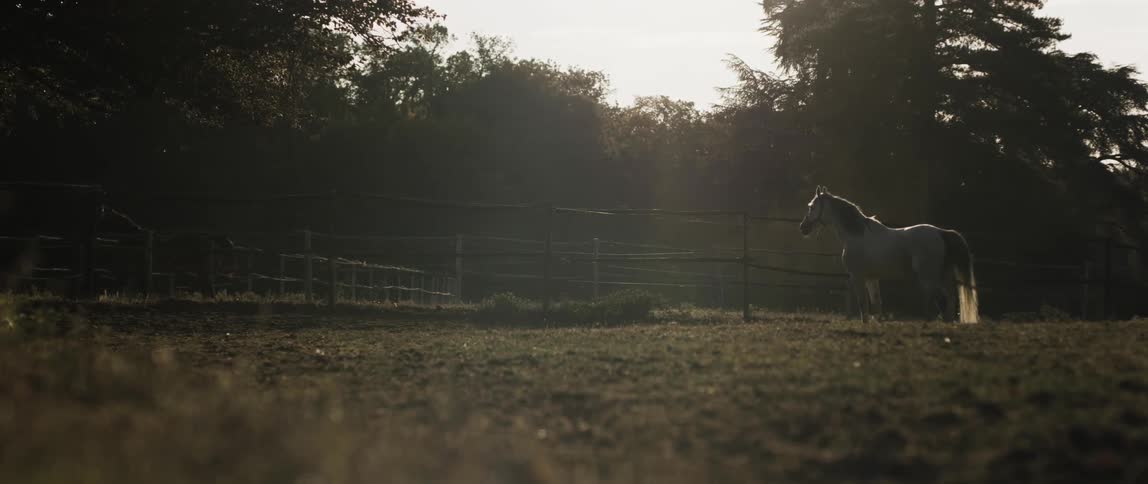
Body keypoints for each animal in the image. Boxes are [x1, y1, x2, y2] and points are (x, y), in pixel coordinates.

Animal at [798, 186, 979, 323]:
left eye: (811, 207)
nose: (803, 227)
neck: (856, 235)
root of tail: (942, 233)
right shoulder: (871, 278)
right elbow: (876, 303)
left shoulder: (858, 276)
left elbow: (863, 304)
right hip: (939, 277)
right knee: (948, 301)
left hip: (928, 277)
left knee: (941, 300)